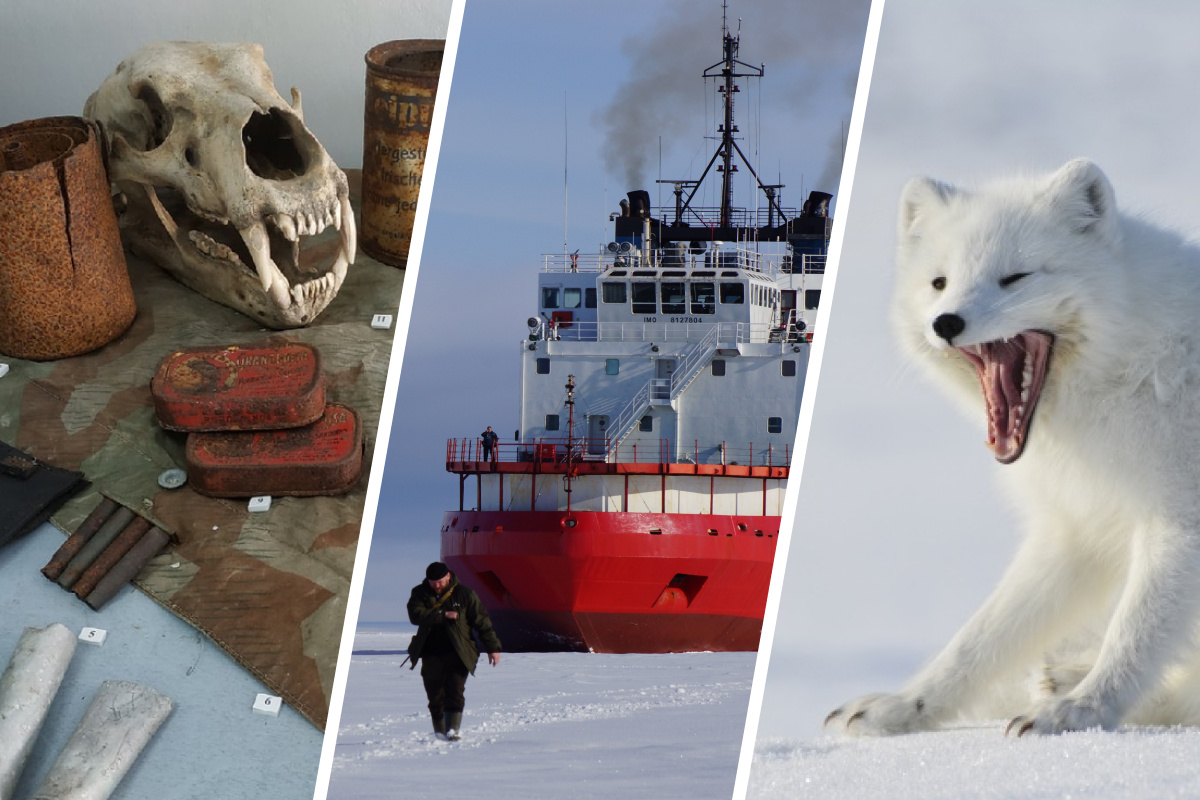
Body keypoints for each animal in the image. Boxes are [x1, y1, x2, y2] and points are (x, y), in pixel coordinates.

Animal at [830, 158, 1200, 738]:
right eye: (939, 282)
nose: (946, 322)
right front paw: (906, 705)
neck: (1130, 363)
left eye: (1015, 278)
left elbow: (1135, 633)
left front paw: (1081, 711)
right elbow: (980, 639)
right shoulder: (1073, 529)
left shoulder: (1177, 524)